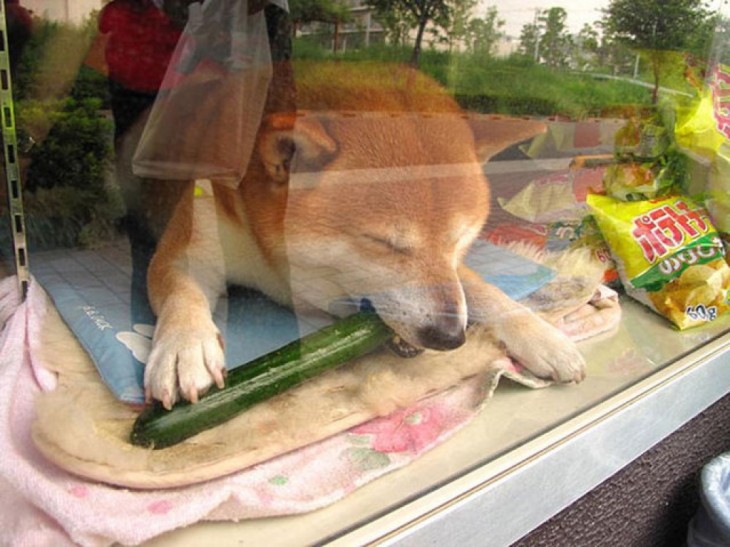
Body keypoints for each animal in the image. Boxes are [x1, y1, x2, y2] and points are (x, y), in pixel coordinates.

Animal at [144, 62, 584, 408]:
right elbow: (181, 288)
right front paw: (184, 346)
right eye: (384, 244)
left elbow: (483, 291)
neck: (270, 258)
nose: (450, 337)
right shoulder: (192, 238)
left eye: (459, 241)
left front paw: (543, 336)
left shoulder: (454, 273)